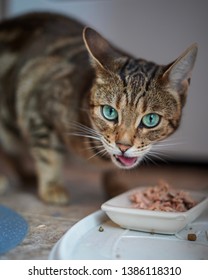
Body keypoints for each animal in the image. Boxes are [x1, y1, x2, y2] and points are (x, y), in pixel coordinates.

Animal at [0, 12, 198, 203]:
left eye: (151, 119)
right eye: (109, 112)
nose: (123, 146)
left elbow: (115, 169)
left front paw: (116, 186)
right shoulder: (38, 104)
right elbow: (48, 154)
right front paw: (52, 187)